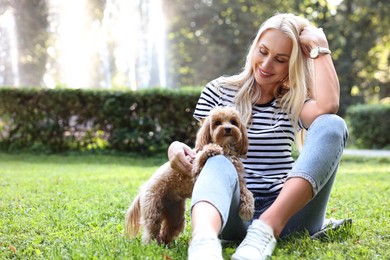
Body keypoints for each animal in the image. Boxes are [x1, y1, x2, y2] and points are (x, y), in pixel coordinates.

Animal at [123, 105, 254, 244]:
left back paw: (165, 244)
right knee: (151, 230)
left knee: (168, 230)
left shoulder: (239, 179)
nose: (228, 128)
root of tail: (144, 187)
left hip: (175, 214)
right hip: (153, 209)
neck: (226, 148)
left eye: (233, 122)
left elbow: (247, 192)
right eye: (217, 123)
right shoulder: (196, 170)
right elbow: (201, 156)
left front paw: (248, 209)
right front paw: (211, 149)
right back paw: (152, 244)